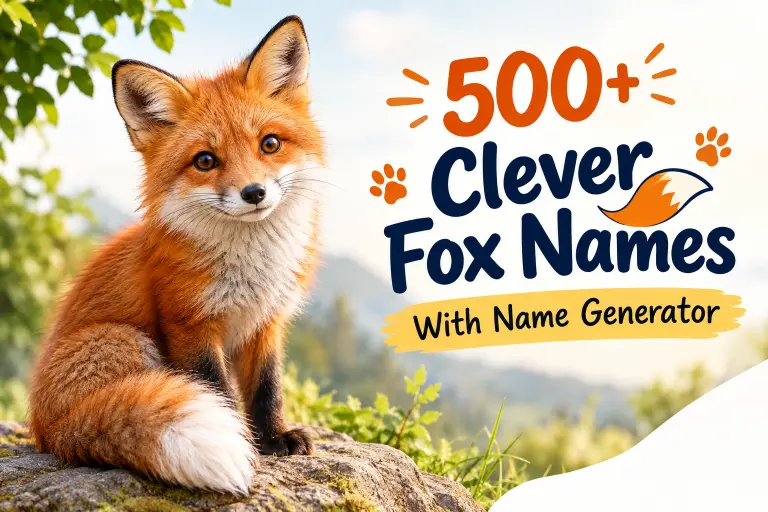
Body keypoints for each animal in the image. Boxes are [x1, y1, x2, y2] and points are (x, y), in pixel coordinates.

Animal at [27, 15, 324, 495]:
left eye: (270, 144)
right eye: (205, 160)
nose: (254, 193)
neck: (252, 267)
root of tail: (47, 429)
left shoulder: (266, 322)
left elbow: (267, 389)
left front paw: (274, 438)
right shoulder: (189, 323)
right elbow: (218, 392)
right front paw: (245, 443)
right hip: (127, 340)